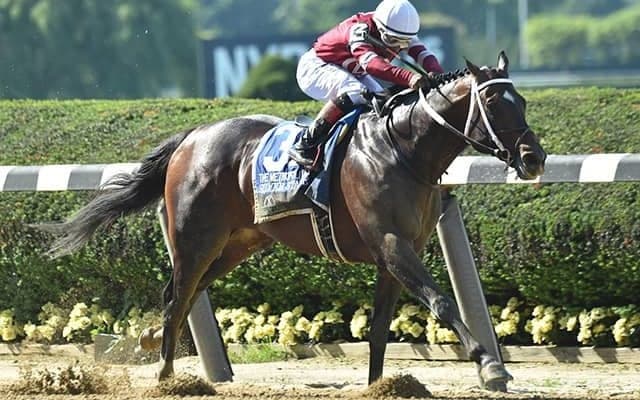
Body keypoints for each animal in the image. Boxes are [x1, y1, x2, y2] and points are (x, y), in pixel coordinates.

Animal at [37, 51, 546, 391]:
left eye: (521, 100)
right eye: (495, 105)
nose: (534, 158)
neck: (402, 150)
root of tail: (193, 136)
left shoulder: (398, 253)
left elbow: (381, 325)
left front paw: (379, 384)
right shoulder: (391, 244)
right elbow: (441, 303)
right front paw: (490, 366)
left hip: (239, 243)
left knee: (184, 293)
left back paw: (150, 340)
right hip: (194, 237)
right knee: (178, 296)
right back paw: (166, 376)